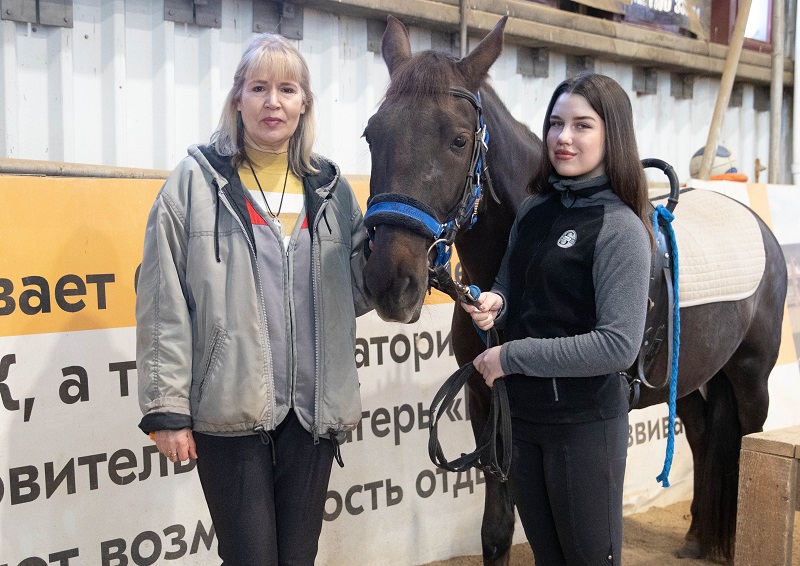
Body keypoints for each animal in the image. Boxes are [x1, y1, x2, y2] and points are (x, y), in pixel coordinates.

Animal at [361, 15, 788, 565]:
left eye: (458, 140)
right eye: (372, 135)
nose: (390, 283)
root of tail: (762, 230)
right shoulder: (486, 402)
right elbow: (496, 530)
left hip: (752, 378)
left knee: (746, 447)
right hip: (691, 375)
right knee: (698, 434)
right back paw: (696, 537)